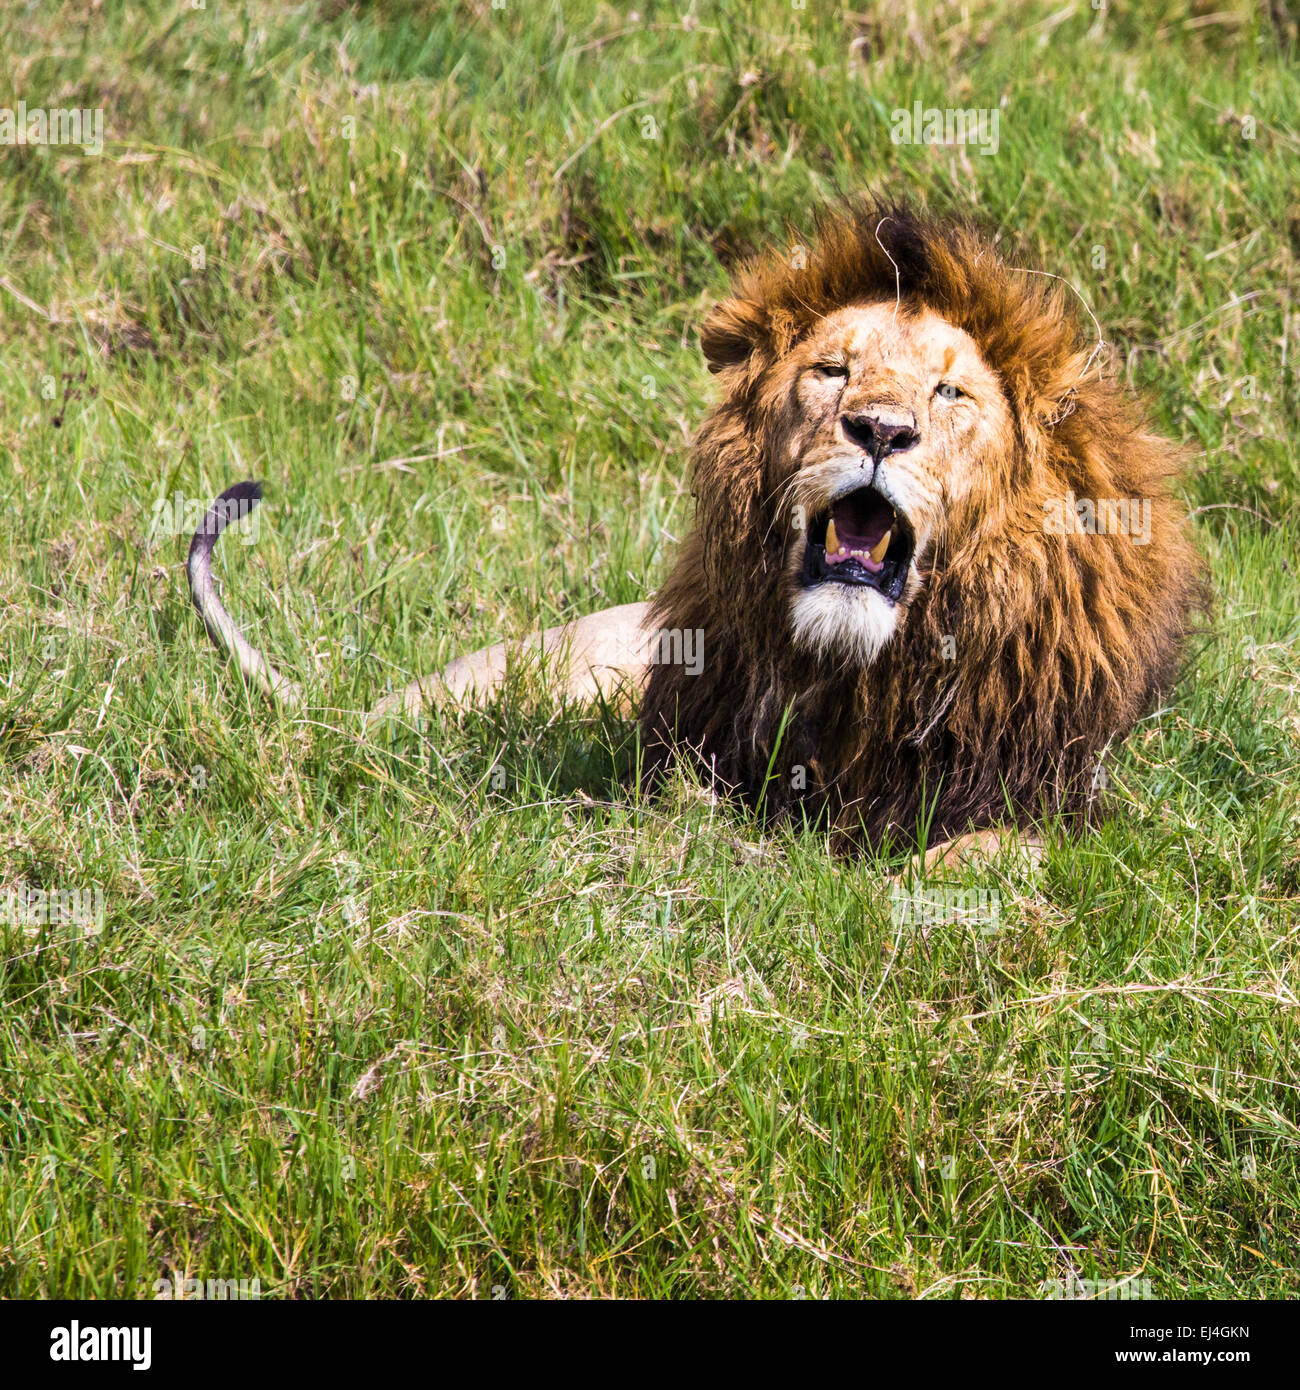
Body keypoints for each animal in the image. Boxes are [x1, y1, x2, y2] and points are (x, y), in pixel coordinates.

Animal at [190, 202, 1212, 861]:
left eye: (950, 391)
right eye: (834, 372)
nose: (880, 431)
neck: (852, 673)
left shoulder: (1044, 794)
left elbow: (991, 853)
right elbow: (683, 805)